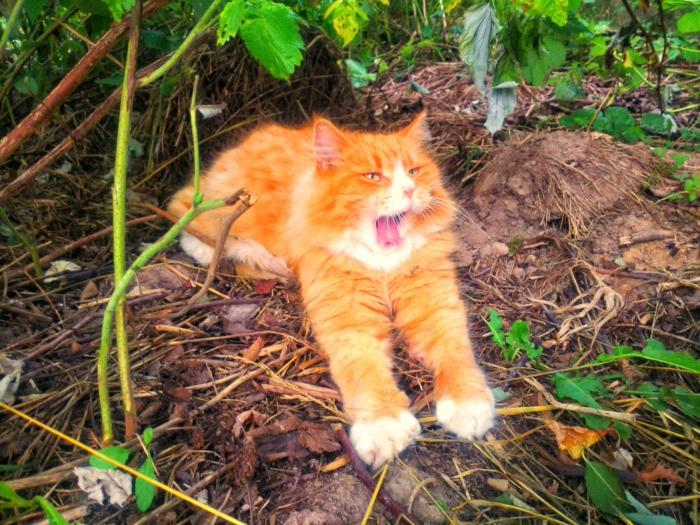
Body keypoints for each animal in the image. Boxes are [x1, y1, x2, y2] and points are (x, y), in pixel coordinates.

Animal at [169, 112, 494, 464]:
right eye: (372, 176)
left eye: (413, 172)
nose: (409, 190)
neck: (382, 266)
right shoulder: (349, 320)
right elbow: (366, 370)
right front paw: (383, 425)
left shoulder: (436, 303)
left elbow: (455, 353)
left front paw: (467, 404)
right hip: (229, 208)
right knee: (185, 212)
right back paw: (239, 256)